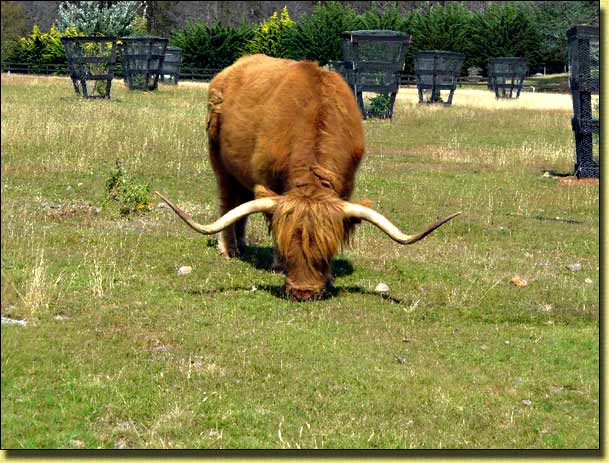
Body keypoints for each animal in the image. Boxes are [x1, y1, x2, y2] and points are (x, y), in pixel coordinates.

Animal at [154, 54, 458, 302]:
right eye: (289, 250)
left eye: (325, 252)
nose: (303, 292)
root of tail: (234, 67)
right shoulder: (268, 181)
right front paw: (277, 264)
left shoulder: (346, 186)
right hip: (219, 160)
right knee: (228, 201)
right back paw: (229, 249)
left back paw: (242, 244)